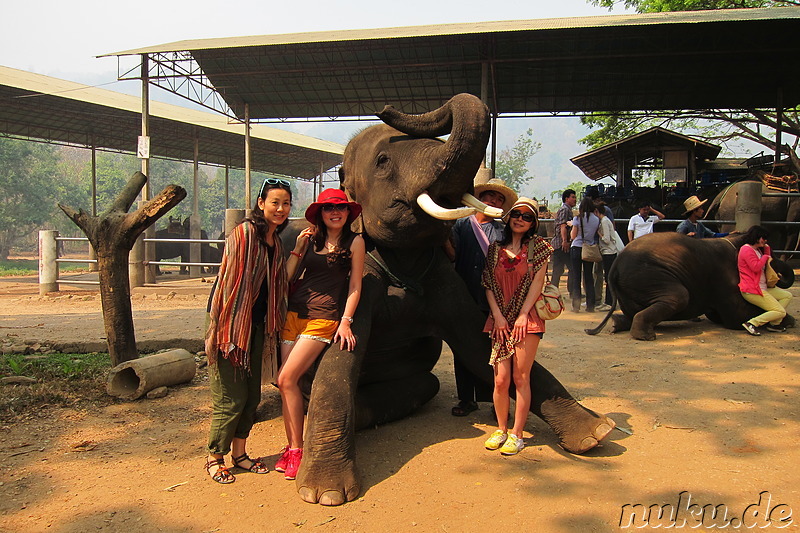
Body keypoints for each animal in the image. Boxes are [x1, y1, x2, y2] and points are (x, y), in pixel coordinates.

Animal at [290, 93, 616, 504]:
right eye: (383, 161)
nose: (384, 107)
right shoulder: (358, 275)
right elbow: (339, 353)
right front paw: (326, 494)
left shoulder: (443, 278)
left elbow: (479, 347)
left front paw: (596, 433)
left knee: (425, 385)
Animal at [584, 233, 796, 340]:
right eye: (765, 251)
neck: (735, 238)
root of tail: (615, 265)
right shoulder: (724, 276)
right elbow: (736, 316)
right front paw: (789, 322)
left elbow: (718, 314)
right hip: (647, 276)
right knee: (680, 295)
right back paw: (647, 336)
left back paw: (617, 325)